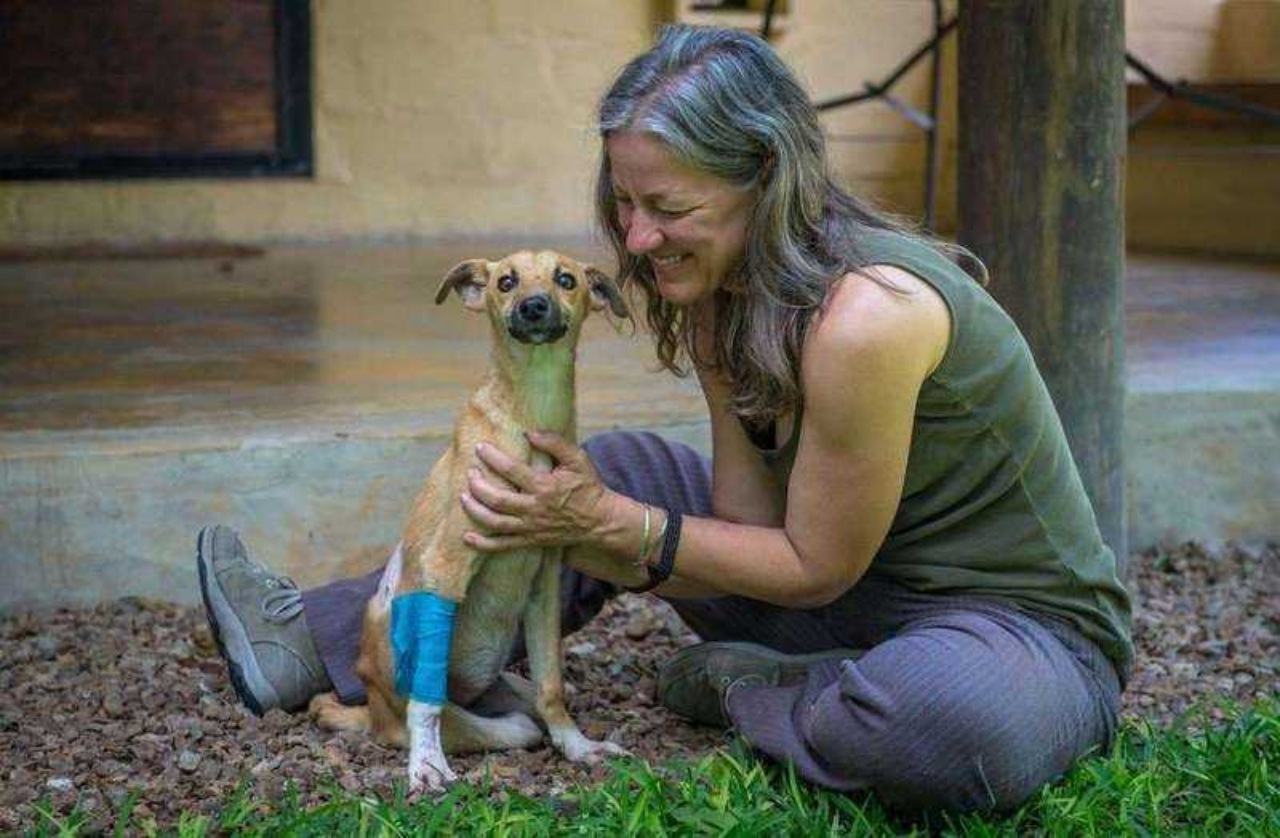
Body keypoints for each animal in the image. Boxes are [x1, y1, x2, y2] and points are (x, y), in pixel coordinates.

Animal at [311, 249, 629, 793]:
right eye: (506, 282)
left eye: (566, 279)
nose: (533, 306)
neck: (531, 412)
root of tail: (371, 710)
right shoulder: (446, 567)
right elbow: (428, 702)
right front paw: (426, 766)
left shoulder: (544, 584)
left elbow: (552, 684)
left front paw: (577, 746)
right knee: (487, 722)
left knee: (529, 704)